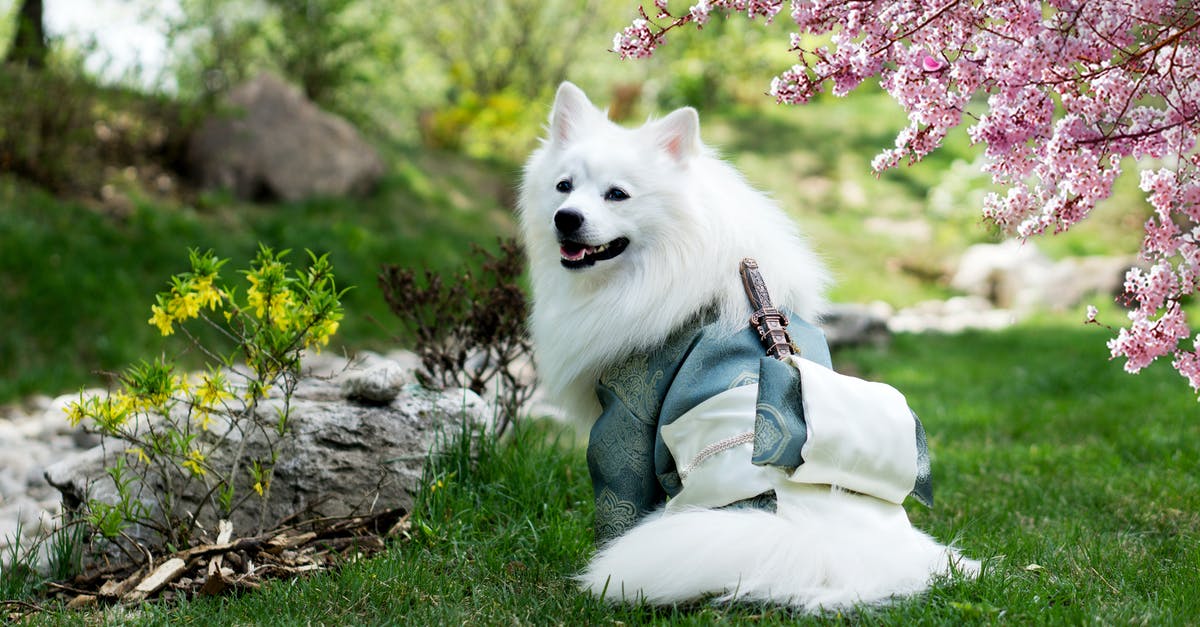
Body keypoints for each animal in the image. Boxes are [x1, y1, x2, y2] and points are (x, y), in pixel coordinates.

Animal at [516, 80, 974, 607]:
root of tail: (817, 539)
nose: (566, 218)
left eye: (617, 195)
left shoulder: (625, 420)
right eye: (563, 186)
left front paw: (602, 560)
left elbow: (618, 501)